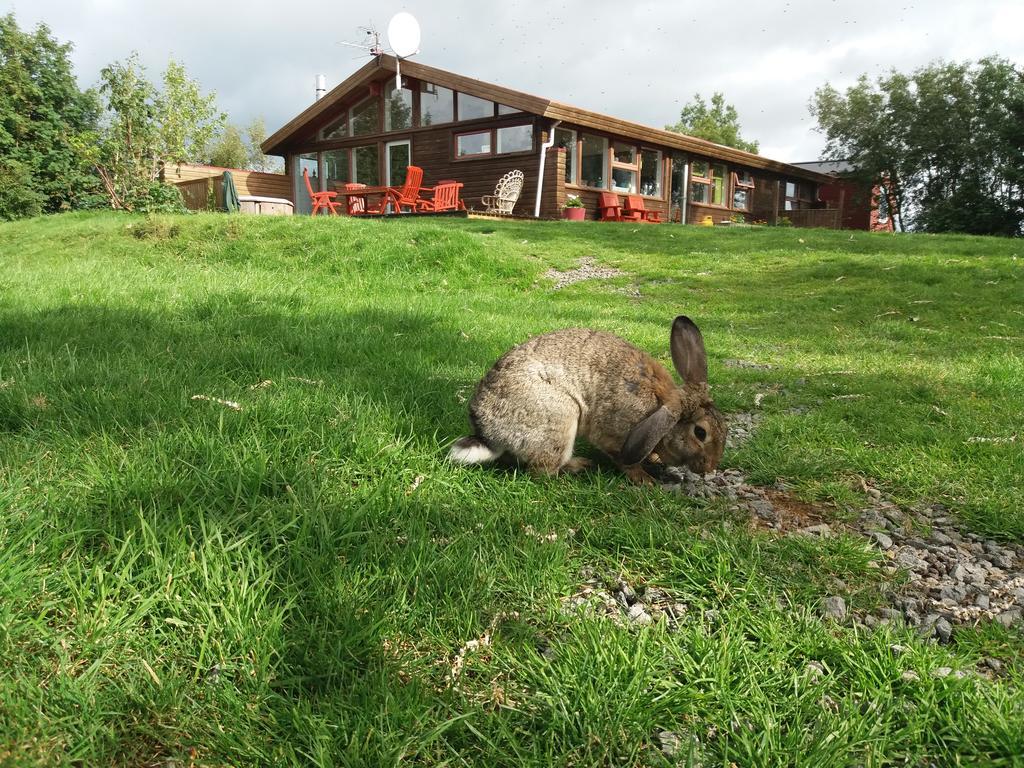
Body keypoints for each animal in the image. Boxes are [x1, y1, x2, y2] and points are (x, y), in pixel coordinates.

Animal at [448, 315, 729, 483]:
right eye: (700, 433)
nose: (710, 468)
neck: (660, 408)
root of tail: (488, 435)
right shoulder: (617, 433)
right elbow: (623, 459)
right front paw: (644, 479)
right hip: (560, 419)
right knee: (542, 471)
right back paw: (577, 466)